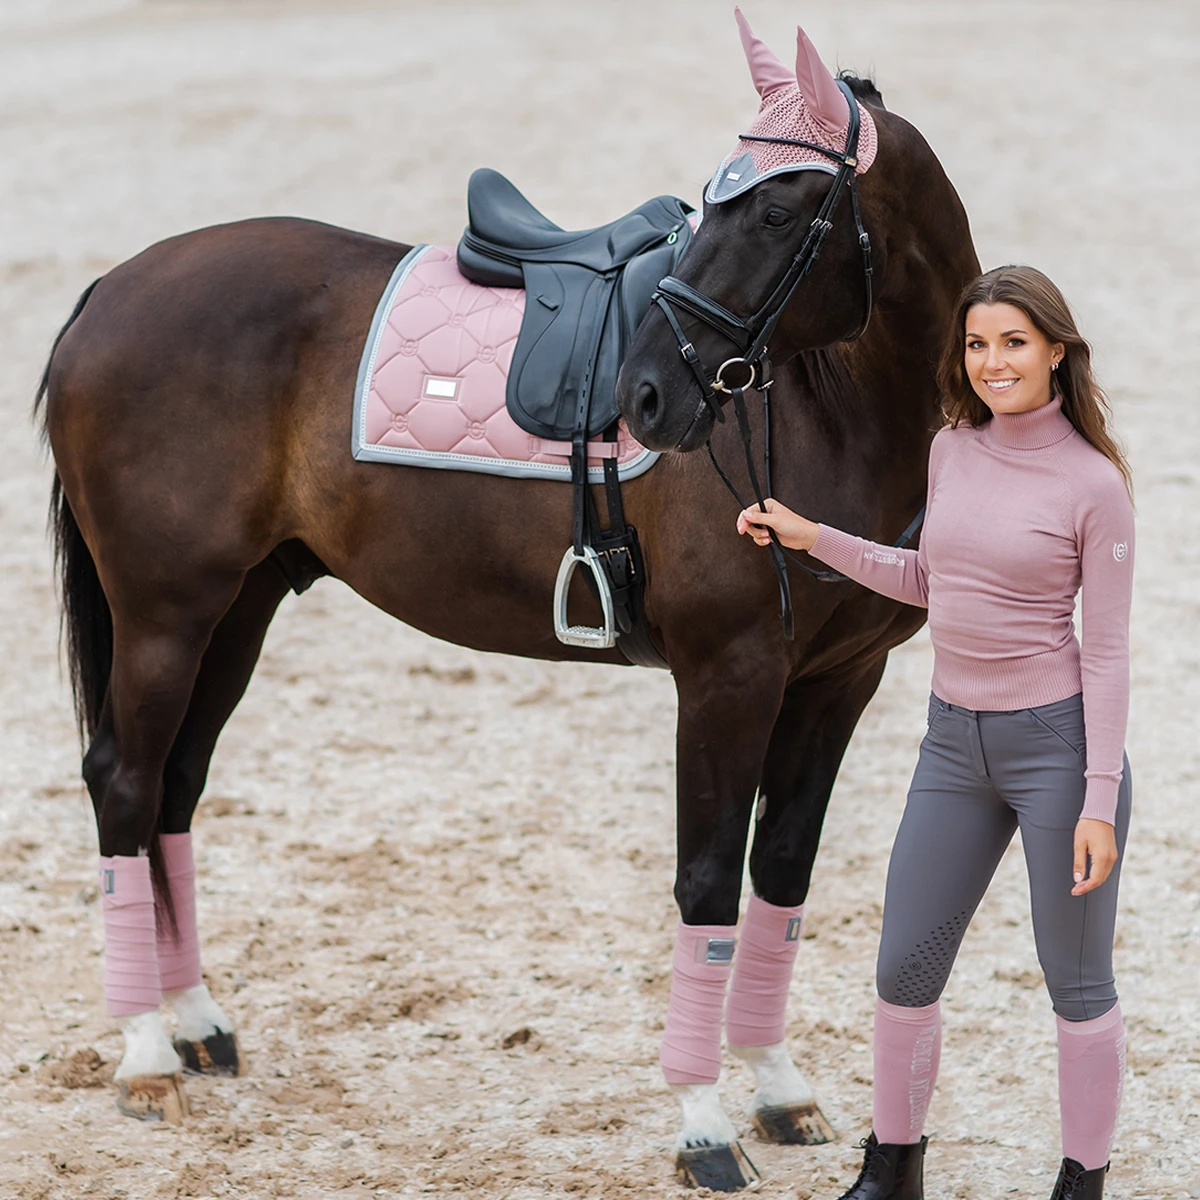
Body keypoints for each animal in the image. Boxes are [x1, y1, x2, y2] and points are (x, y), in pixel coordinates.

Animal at [35, 12, 977, 1191]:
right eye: (713, 201)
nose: (644, 394)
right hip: (166, 612)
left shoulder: (839, 679)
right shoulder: (731, 678)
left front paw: (778, 1088)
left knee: (172, 786)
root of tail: (112, 289)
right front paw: (703, 1124)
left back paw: (198, 1024)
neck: (829, 413)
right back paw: (147, 1057)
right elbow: (709, 882)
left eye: (771, 208)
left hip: (238, 607)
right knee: (123, 781)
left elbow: (781, 877)